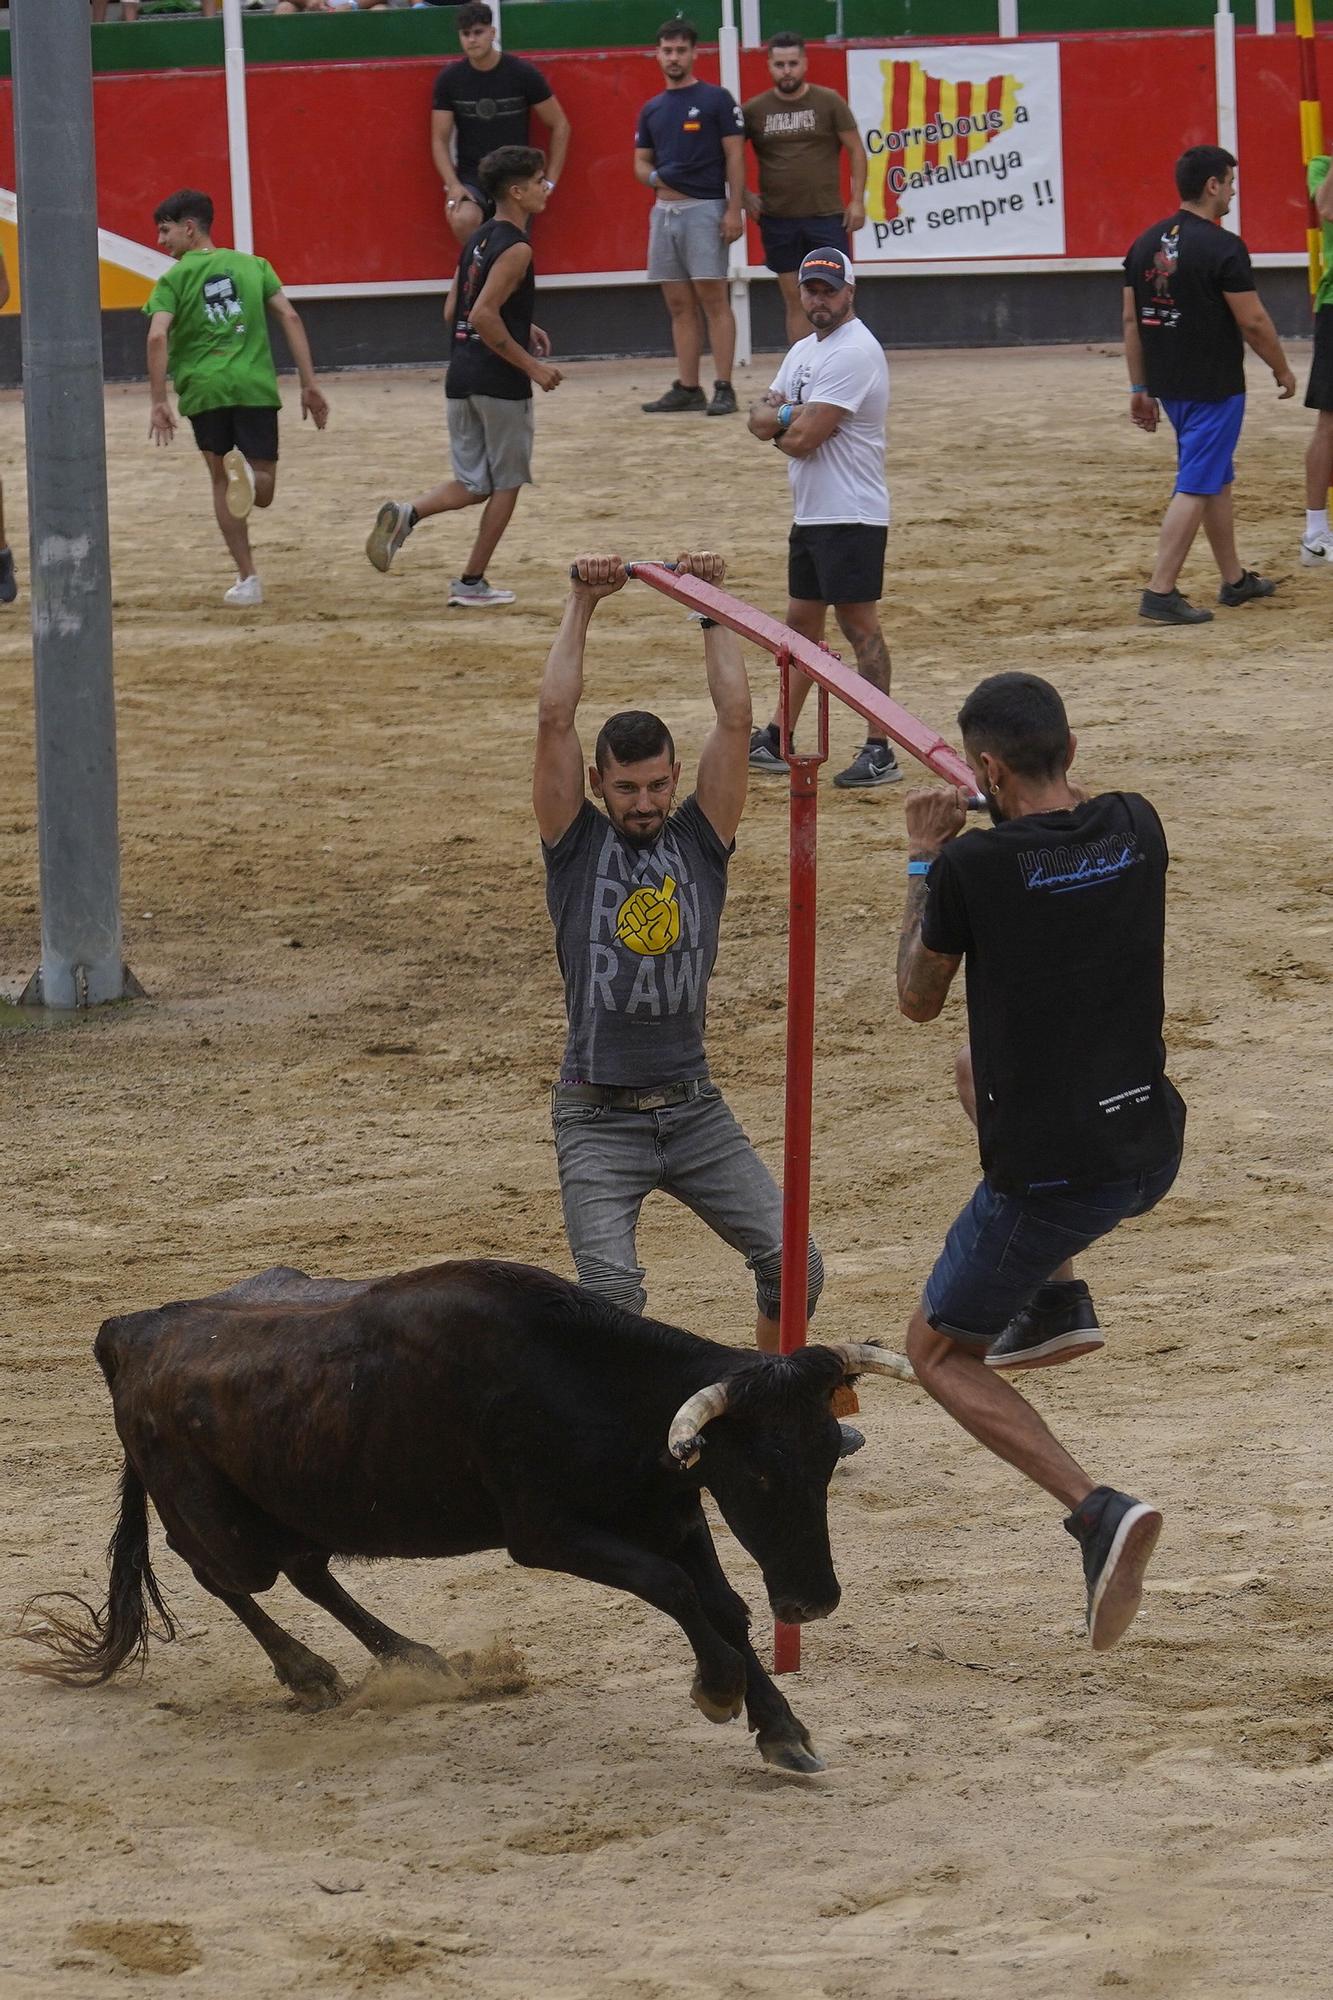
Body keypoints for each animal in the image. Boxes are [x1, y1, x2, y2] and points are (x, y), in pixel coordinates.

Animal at [23, 1256, 912, 1776]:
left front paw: (780, 1727)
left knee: (307, 1571)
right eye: (757, 1472)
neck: (593, 1383)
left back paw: (419, 1661)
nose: (811, 1601)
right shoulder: (548, 1534)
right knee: (227, 1577)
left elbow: (719, 1605)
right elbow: (675, 1591)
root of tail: (127, 1331)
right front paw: (719, 1692)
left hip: (298, 1503)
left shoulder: (671, 1515)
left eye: (827, 1455)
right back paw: (309, 1674)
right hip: (219, 1521)